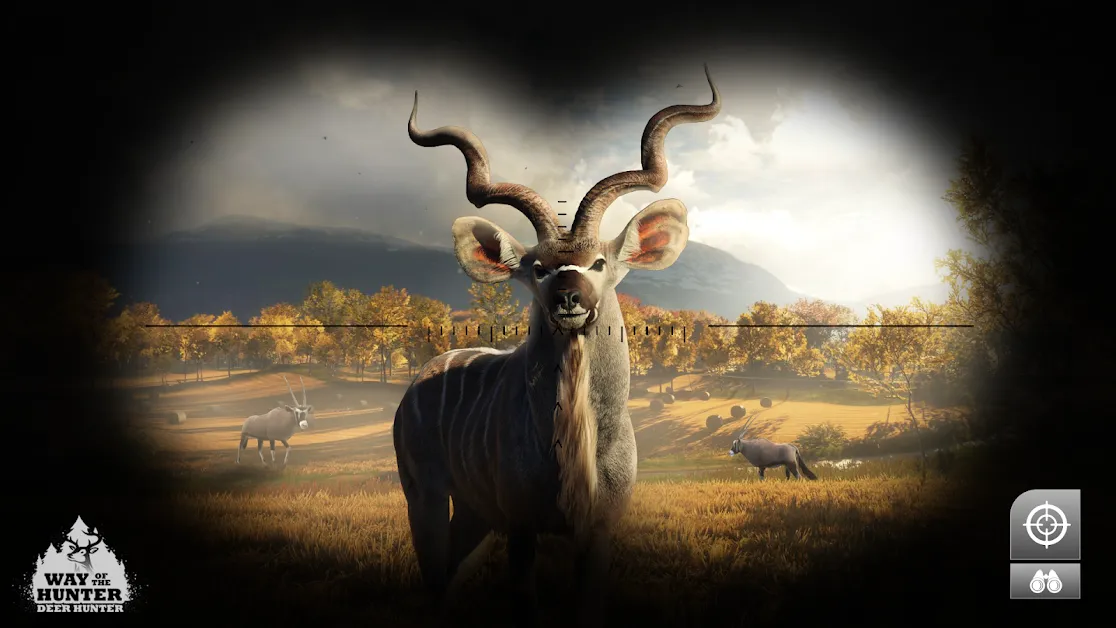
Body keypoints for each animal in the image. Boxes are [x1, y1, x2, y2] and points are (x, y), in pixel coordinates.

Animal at [392, 65, 721, 627]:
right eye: (538, 269)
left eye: (599, 263)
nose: (570, 298)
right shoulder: (522, 527)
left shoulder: (598, 530)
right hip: (426, 498)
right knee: (435, 578)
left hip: (475, 513)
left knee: (452, 573)